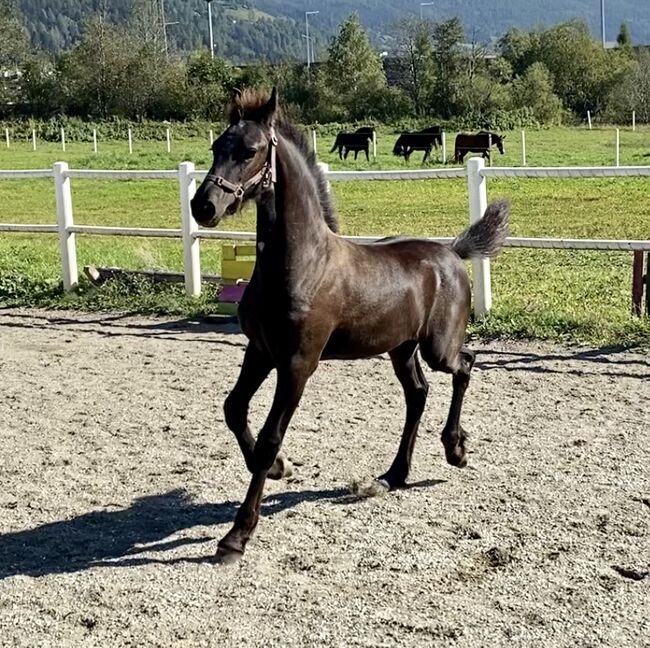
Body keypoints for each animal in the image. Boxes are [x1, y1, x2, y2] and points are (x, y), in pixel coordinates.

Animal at [187, 88, 506, 564]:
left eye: (250, 150)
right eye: (215, 148)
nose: (203, 205)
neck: (301, 264)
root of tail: (452, 251)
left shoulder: (298, 364)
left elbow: (269, 438)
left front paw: (237, 535)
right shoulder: (260, 350)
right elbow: (234, 409)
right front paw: (281, 469)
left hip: (437, 347)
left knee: (465, 363)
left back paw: (455, 449)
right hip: (401, 348)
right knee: (418, 394)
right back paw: (395, 474)